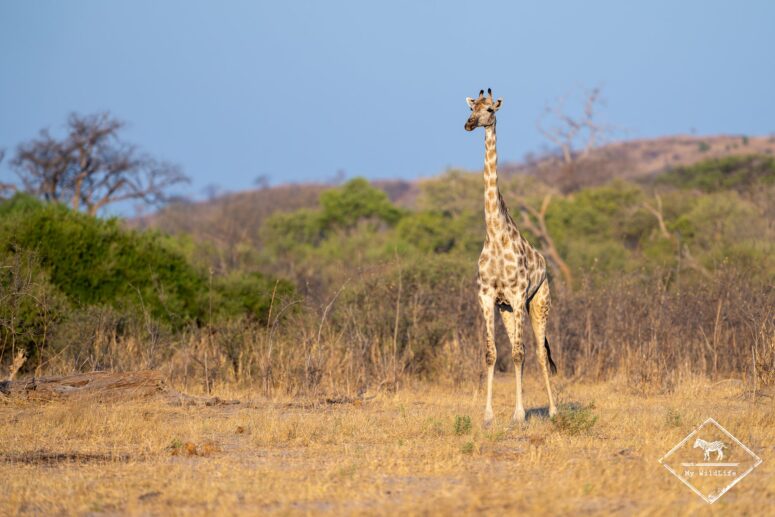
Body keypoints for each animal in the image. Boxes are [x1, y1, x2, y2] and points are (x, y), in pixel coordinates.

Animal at [464, 88, 558, 427]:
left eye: (490, 110)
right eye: (471, 108)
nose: (469, 124)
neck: (495, 232)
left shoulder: (519, 295)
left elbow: (518, 353)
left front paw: (519, 415)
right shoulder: (486, 296)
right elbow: (491, 353)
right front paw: (488, 416)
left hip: (539, 301)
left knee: (538, 352)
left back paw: (554, 410)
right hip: (506, 309)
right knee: (525, 348)